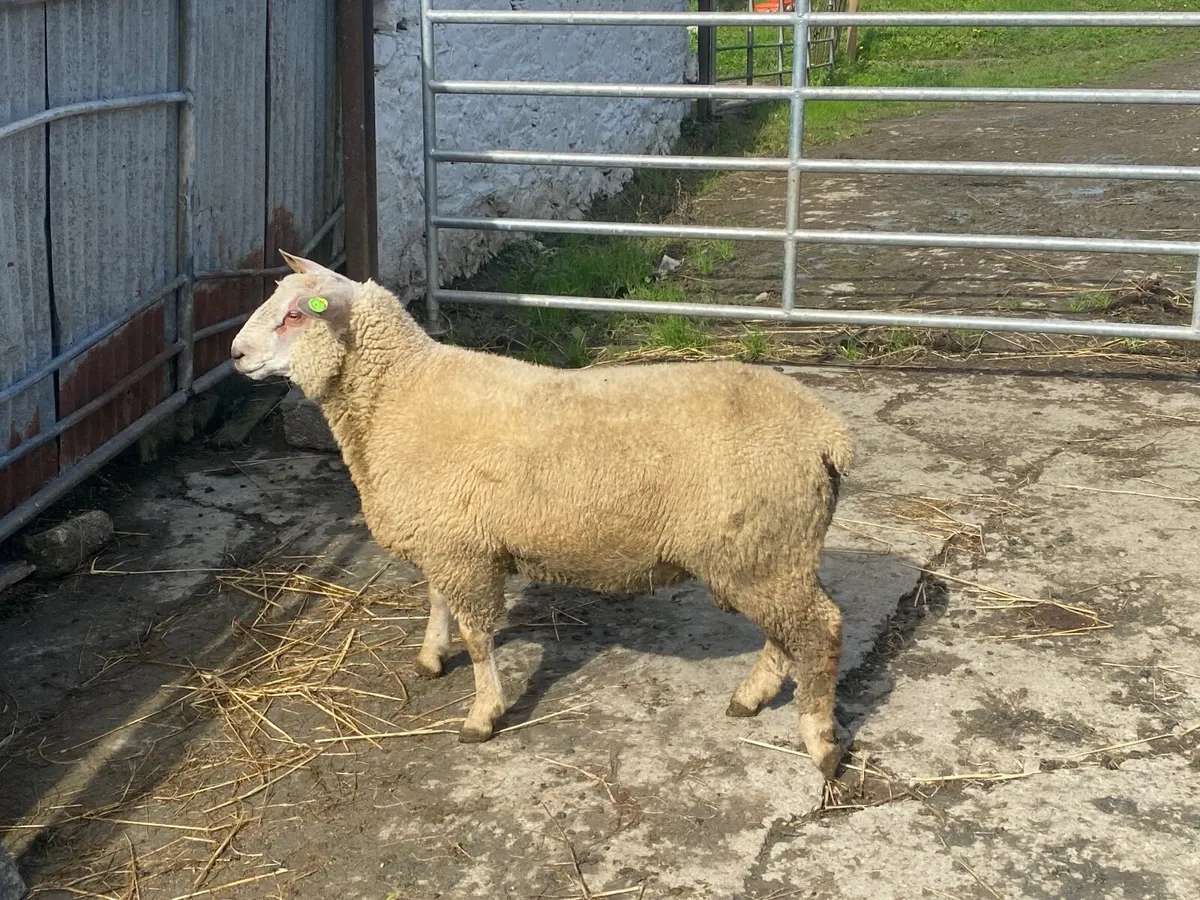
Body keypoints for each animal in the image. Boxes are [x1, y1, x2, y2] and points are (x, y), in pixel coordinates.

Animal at [230, 252, 855, 778]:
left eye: (294, 315)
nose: (234, 354)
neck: (398, 397)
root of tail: (827, 433)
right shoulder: (446, 537)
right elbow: (436, 599)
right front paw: (432, 657)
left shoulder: (461, 548)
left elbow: (478, 636)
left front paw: (483, 714)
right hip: (772, 547)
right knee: (789, 633)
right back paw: (752, 697)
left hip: (762, 548)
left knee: (818, 631)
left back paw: (819, 740)